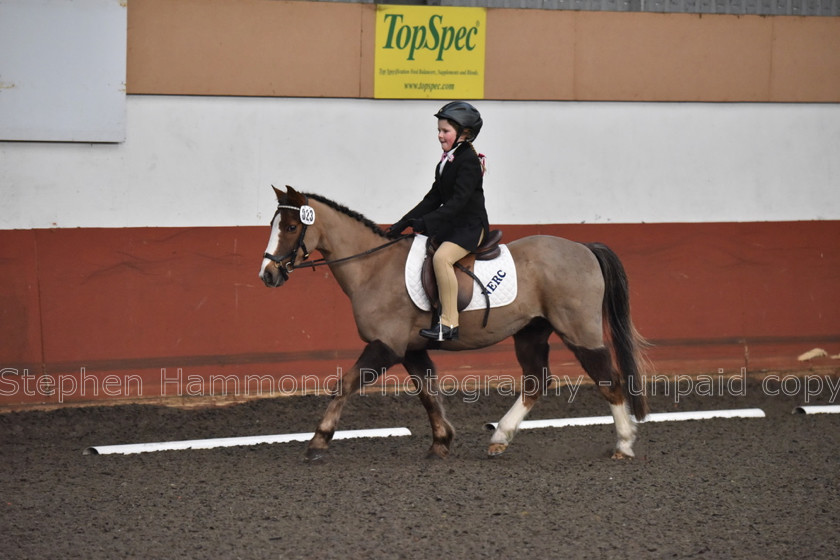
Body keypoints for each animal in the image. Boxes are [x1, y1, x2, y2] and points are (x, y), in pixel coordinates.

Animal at [260, 187, 648, 460]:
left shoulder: (386, 346)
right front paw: (441, 442)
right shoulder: (411, 349)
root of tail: (583, 247)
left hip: (579, 331)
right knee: (536, 380)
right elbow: (427, 394)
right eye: (274, 225)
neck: (373, 268)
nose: (267, 275)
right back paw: (499, 438)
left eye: (292, 227)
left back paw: (624, 444)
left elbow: (344, 384)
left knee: (609, 379)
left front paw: (318, 441)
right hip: (531, 331)